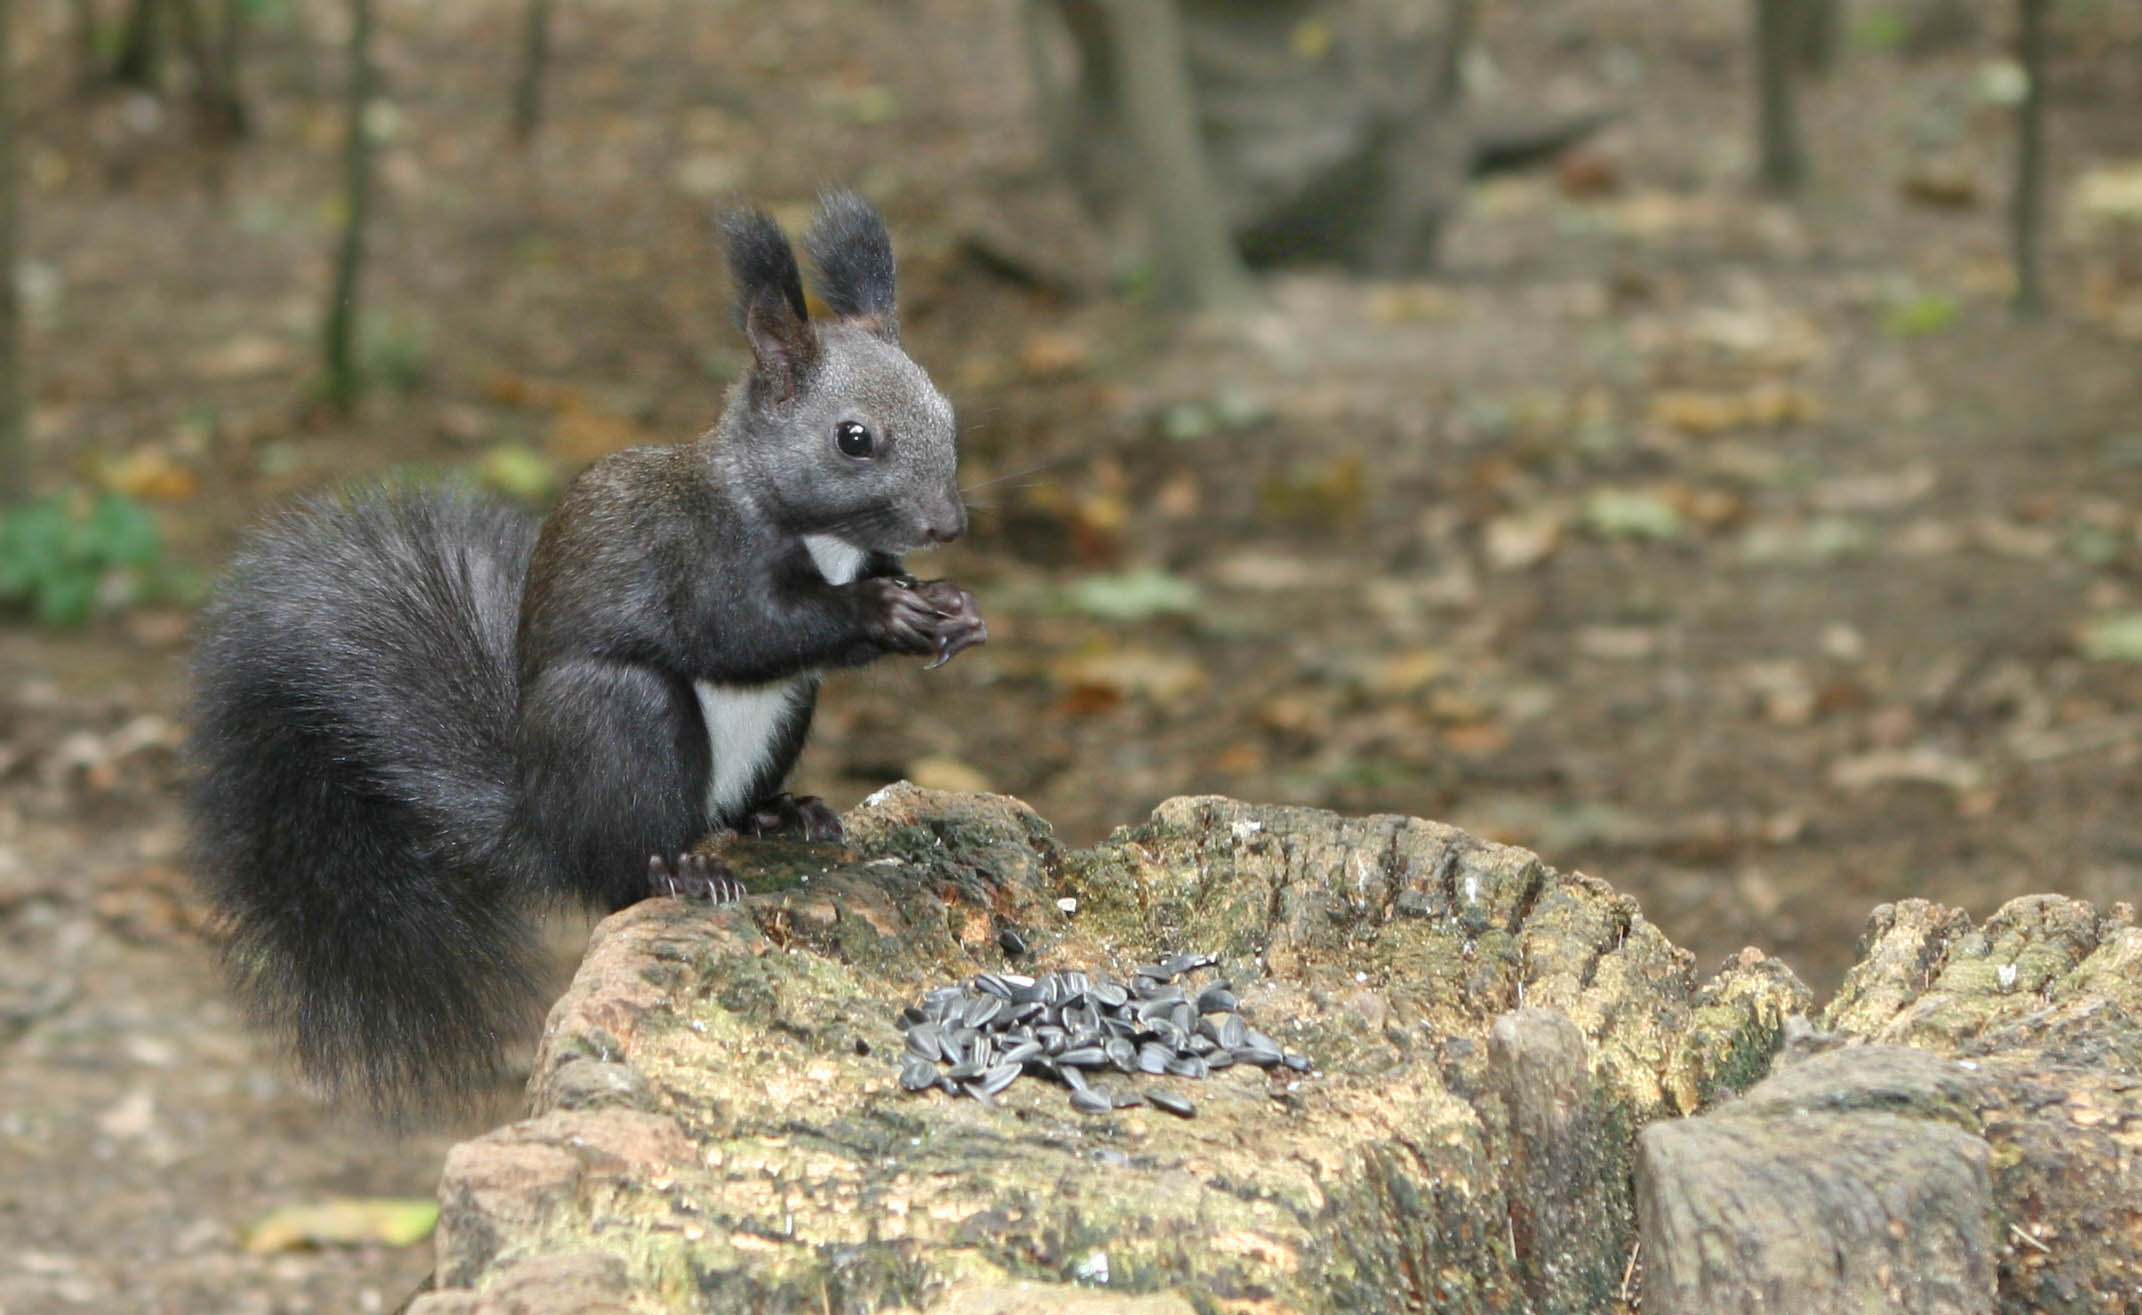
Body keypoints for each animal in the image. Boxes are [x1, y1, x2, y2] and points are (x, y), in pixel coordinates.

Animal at [184, 192, 985, 1122]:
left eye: (950, 414)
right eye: (854, 438)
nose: (947, 523)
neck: (821, 539)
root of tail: (545, 821)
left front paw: (950, 607)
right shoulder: (694, 558)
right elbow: (740, 631)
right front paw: (886, 611)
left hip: (787, 712)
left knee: (730, 802)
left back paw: (779, 812)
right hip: (618, 718)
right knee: (623, 861)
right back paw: (683, 868)